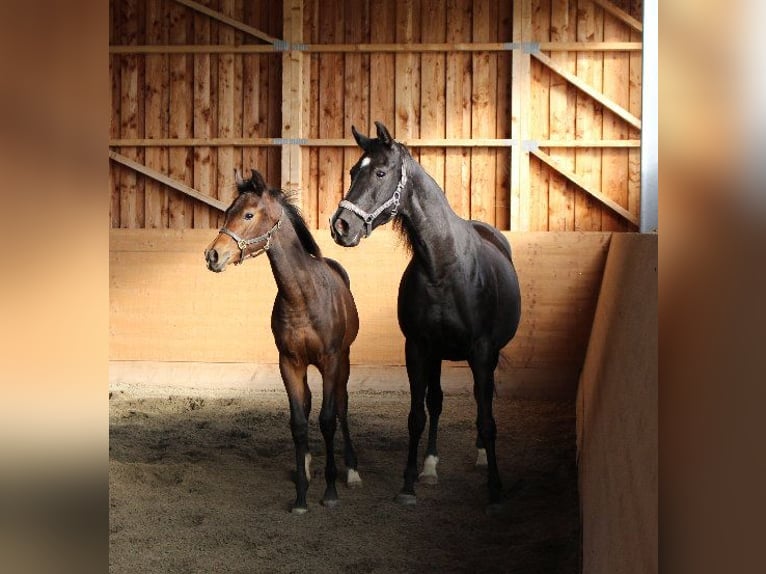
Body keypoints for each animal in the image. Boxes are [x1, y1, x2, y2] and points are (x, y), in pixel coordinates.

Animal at [202, 169, 362, 516]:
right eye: (227, 212)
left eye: (248, 215)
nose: (213, 255)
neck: (303, 296)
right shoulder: (289, 362)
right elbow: (299, 422)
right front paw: (301, 495)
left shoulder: (330, 360)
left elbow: (328, 419)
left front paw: (330, 492)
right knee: (310, 403)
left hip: (344, 360)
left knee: (342, 405)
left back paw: (353, 470)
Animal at [330, 122, 520, 512]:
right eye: (354, 171)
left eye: (380, 172)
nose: (341, 226)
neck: (443, 266)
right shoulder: (418, 348)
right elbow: (417, 416)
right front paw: (408, 484)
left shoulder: (481, 352)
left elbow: (487, 418)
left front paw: (495, 489)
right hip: (437, 355)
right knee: (437, 402)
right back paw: (429, 467)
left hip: (485, 357)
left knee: (483, 398)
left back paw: (481, 456)